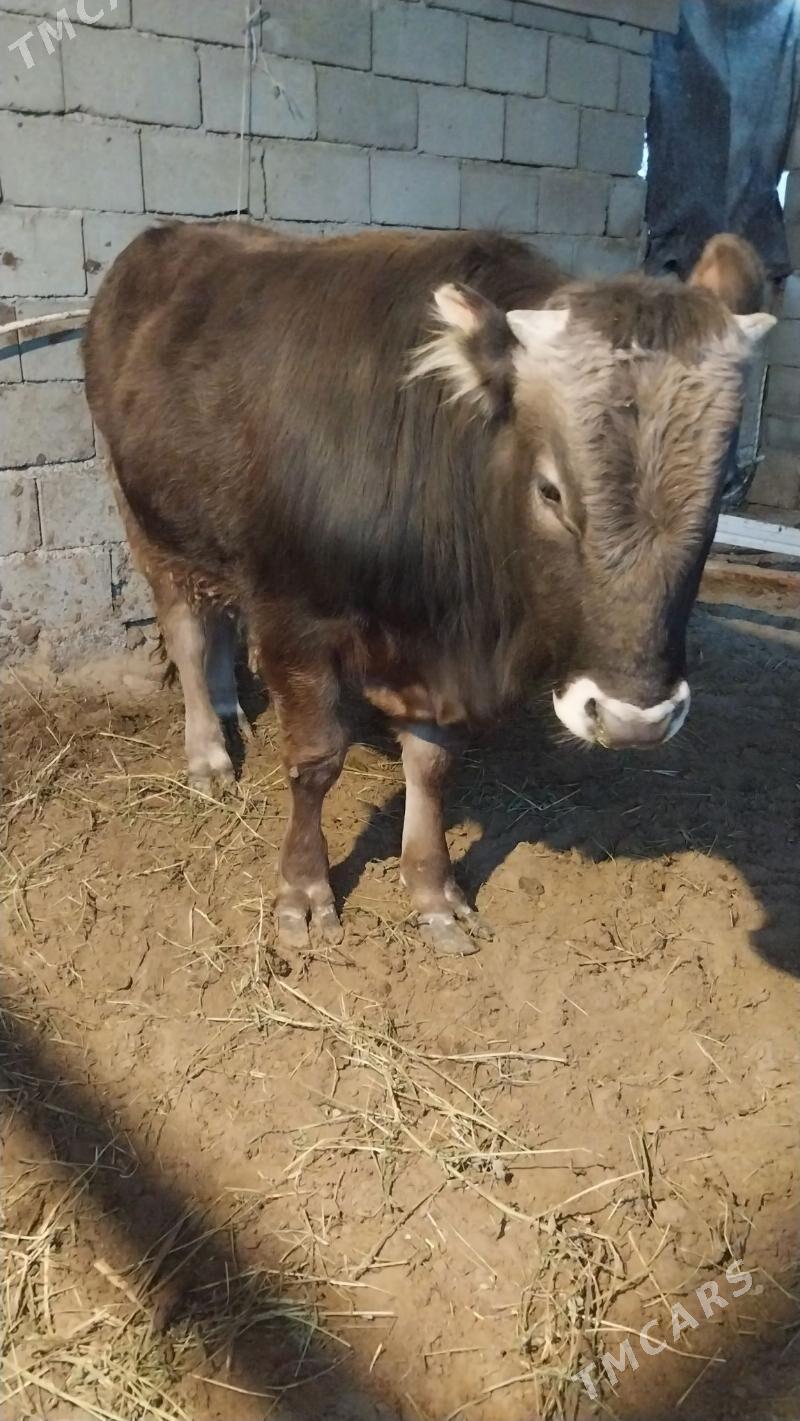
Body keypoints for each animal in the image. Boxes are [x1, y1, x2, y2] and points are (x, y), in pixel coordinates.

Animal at [83, 222, 774, 956]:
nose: (633, 720)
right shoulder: (297, 617)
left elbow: (433, 767)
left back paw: (226, 708)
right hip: (146, 519)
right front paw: (304, 890)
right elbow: (316, 760)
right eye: (551, 490)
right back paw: (208, 752)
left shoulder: (439, 652)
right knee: (188, 633)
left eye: (723, 488)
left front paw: (434, 890)